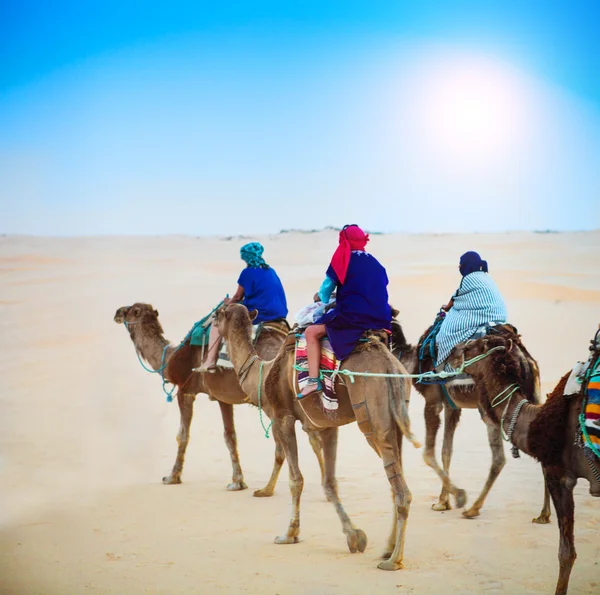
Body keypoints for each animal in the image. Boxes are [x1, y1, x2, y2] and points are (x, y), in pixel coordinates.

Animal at [115, 302, 326, 494]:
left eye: (131, 310)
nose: (117, 312)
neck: (169, 357)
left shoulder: (185, 391)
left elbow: (182, 435)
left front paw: (172, 476)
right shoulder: (223, 398)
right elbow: (230, 436)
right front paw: (238, 481)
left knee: (290, 442)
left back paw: (271, 488)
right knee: (313, 436)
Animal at [217, 304, 422, 572]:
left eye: (218, 315)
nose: (211, 324)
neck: (263, 374)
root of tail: (391, 367)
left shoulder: (282, 417)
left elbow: (296, 480)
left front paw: (289, 534)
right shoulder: (327, 426)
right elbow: (330, 483)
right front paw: (354, 536)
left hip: (372, 417)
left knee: (401, 489)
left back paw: (393, 560)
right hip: (396, 415)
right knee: (395, 480)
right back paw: (387, 549)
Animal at [390, 316, 552, 520]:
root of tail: (526, 361)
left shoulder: (433, 401)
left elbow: (428, 453)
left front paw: (458, 496)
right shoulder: (452, 406)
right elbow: (446, 451)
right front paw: (443, 502)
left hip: (488, 406)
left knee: (499, 458)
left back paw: (473, 508)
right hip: (534, 395)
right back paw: (544, 514)